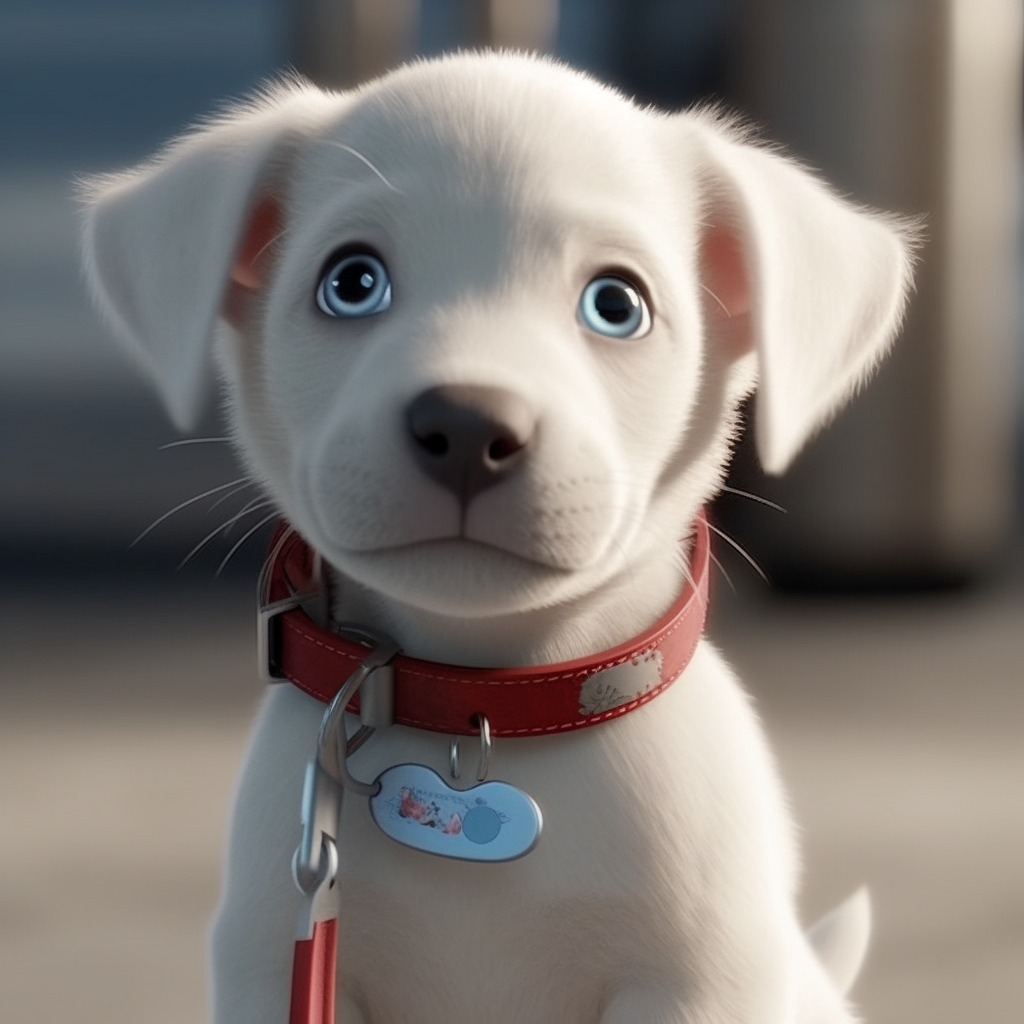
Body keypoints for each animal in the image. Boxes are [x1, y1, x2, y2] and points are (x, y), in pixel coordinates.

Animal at [77, 49, 913, 1024]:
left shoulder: (697, 982)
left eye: (617, 304)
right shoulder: (270, 963)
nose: (468, 425)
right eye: (351, 283)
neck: (484, 707)